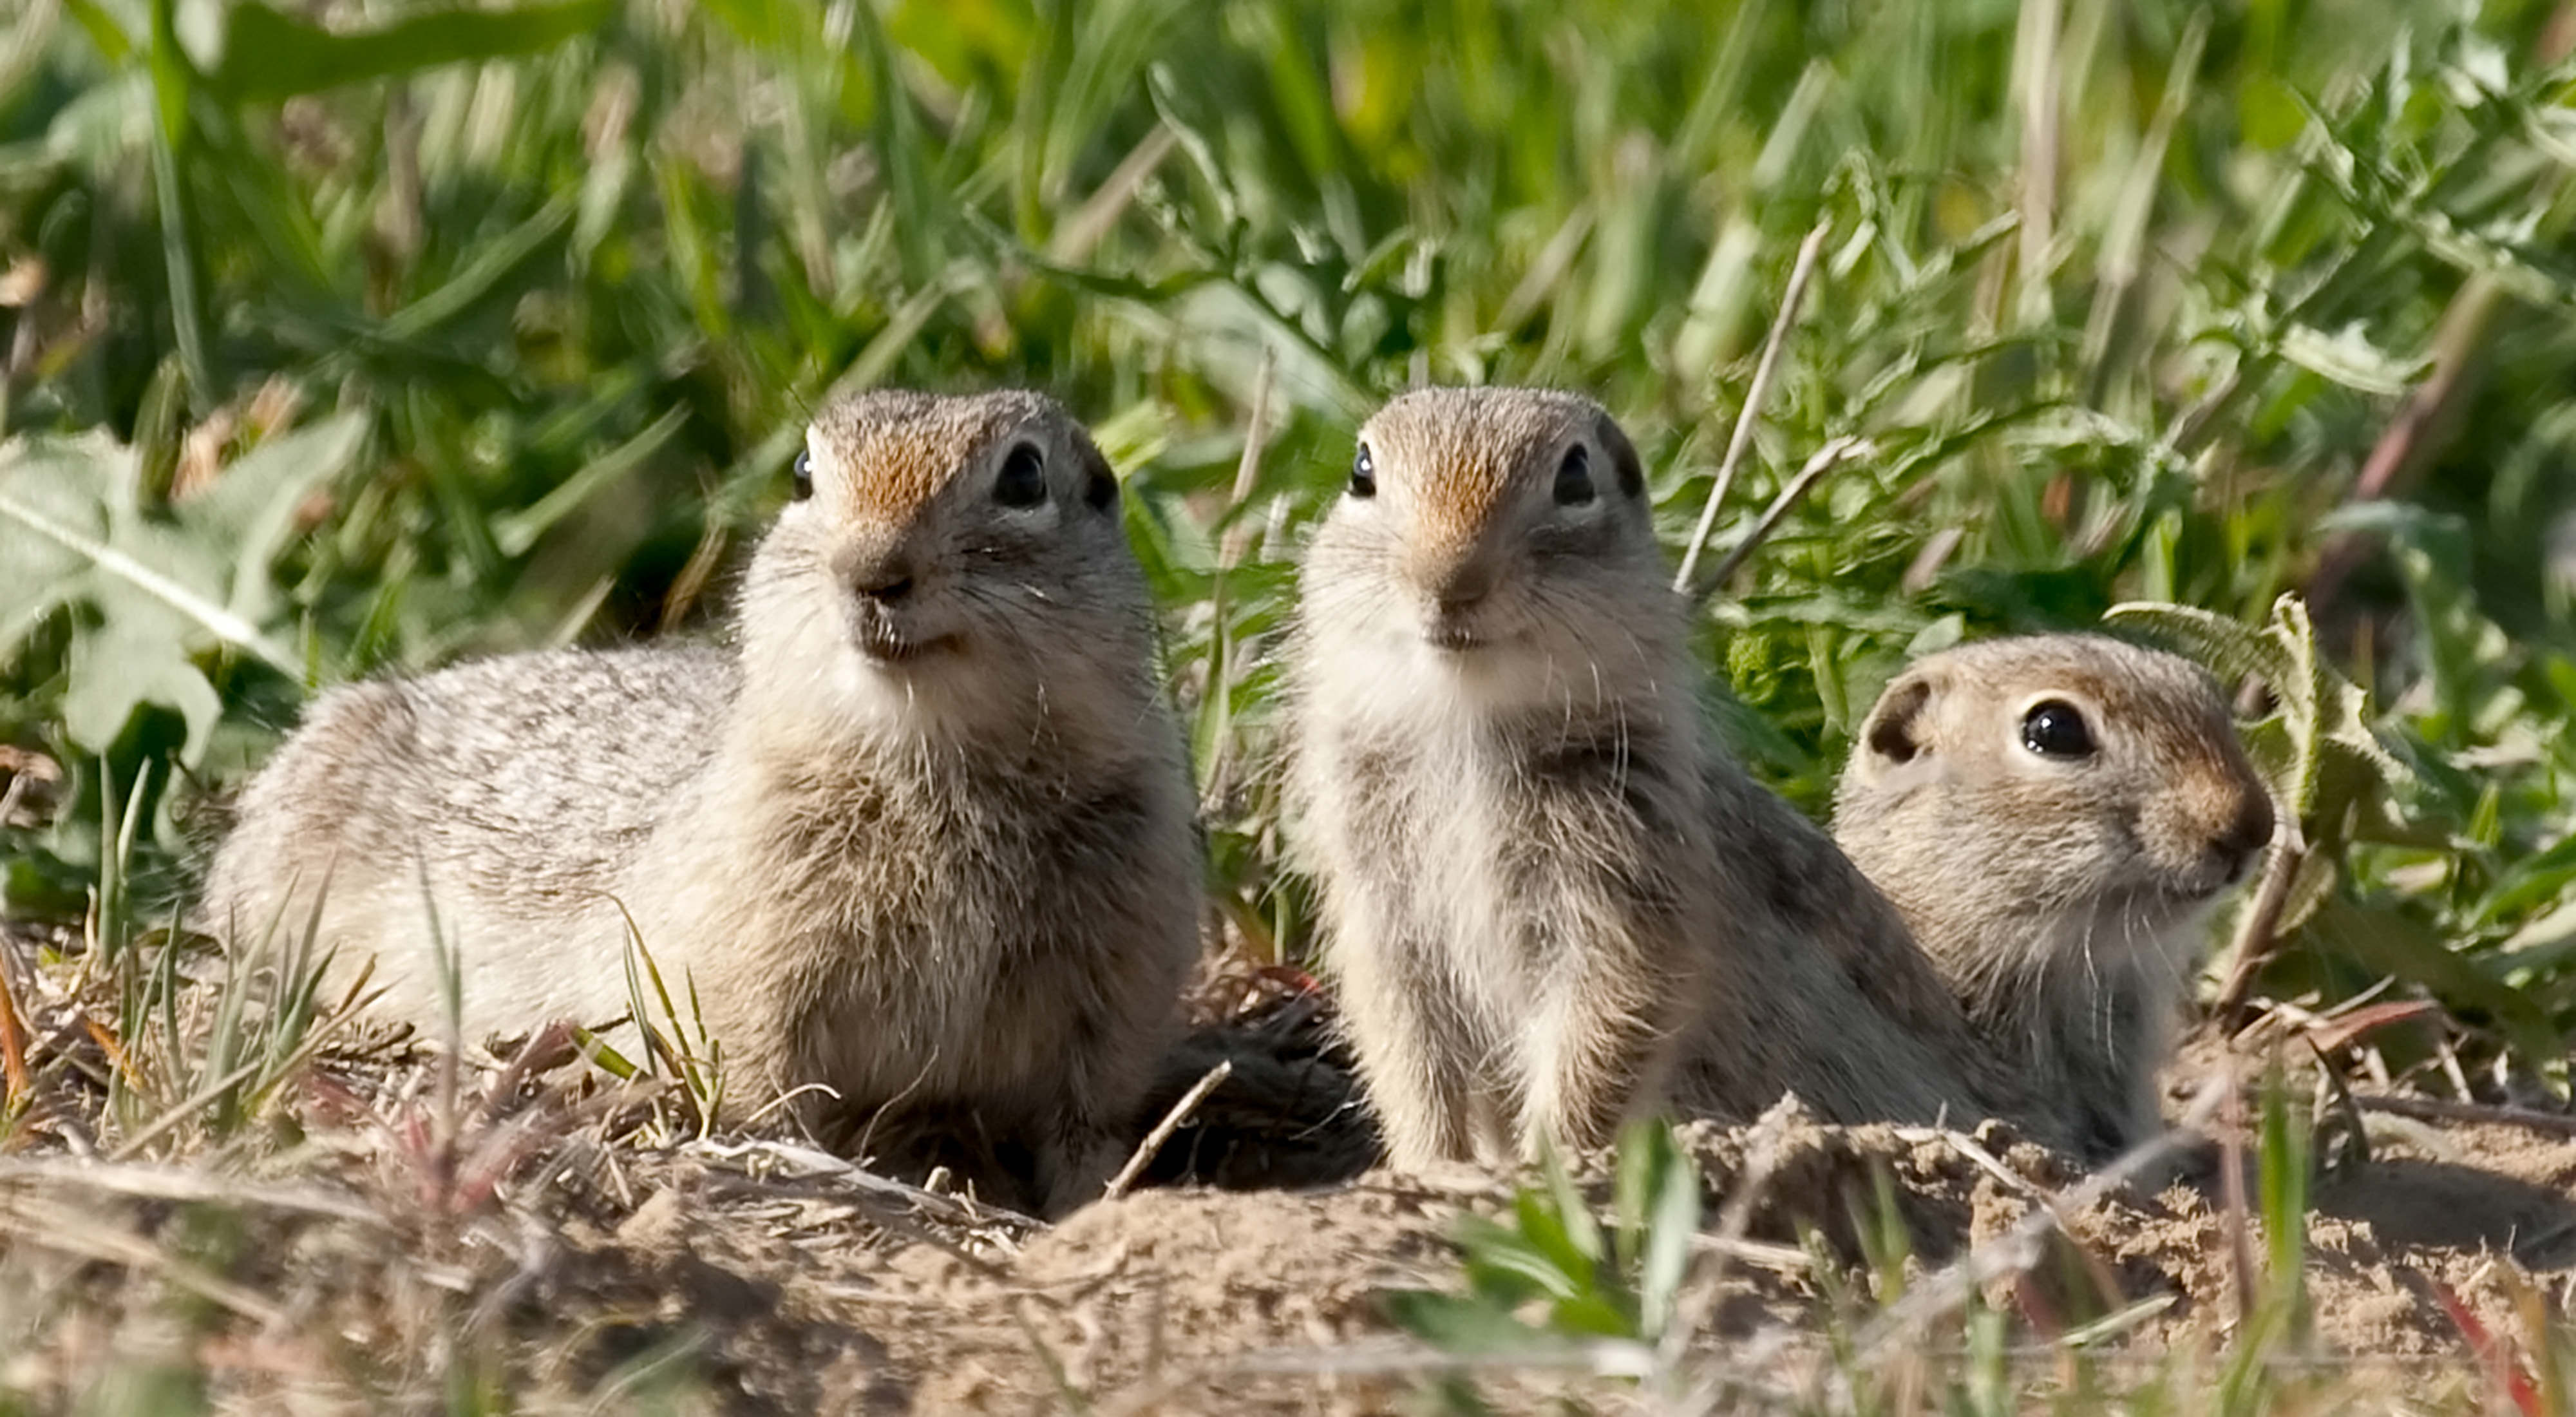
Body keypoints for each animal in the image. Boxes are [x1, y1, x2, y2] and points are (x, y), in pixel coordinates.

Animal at [196, 389, 1200, 1221]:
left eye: (1024, 476)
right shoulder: (747, 977)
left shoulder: (1119, 983)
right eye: (803, 475)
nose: (871, 572)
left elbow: (1088, 1123)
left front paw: (1093, 1207)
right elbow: (765, 1090)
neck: (937, 763)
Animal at [1288, 386, 2009, 1165]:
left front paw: (1551, 1162)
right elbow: (1408, 1059)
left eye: (1575, 476)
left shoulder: (1627, 899)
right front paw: (1435, 1166)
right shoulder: (1384, 926)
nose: (1449, 584)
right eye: (1361, 472)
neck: (1466, 722)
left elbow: (1604, 1037)